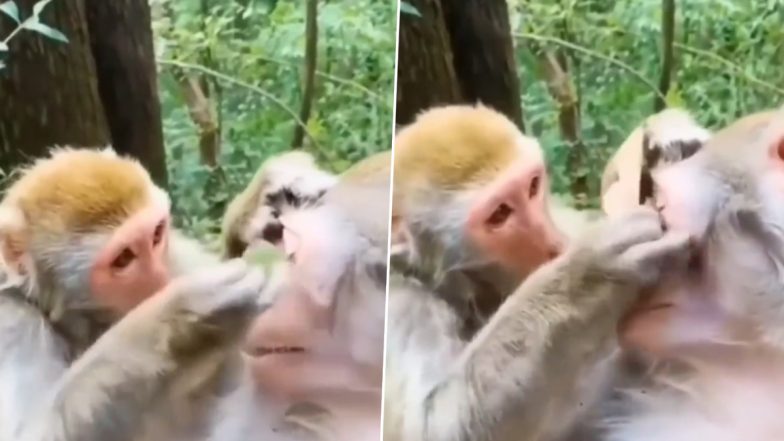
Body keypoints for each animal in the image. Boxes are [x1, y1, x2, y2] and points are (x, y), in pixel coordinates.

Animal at [0, 147, 269, 441]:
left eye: (157, 235)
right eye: (124, 258)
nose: (162, 280)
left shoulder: (178, 256)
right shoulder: (13, 322)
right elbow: (29, 433)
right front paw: (183, 315)